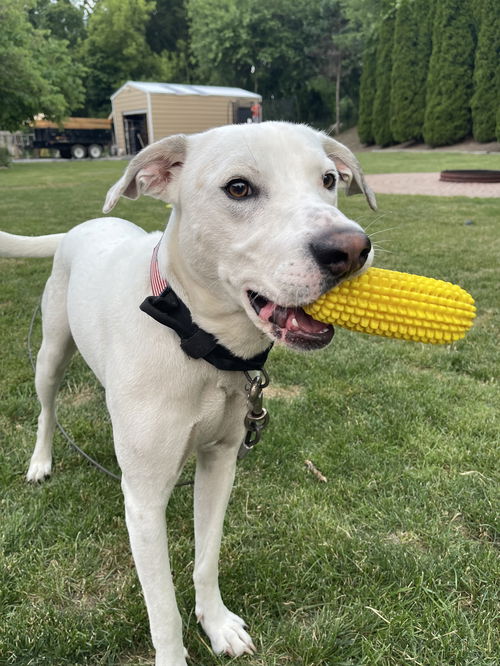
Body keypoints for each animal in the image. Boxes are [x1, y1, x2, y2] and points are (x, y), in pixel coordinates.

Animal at [0, 123, 376, 660]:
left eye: (328, 179)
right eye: (238, 188)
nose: (351, 250)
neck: (200, 343)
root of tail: (83, 227)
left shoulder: (220, 463)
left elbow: (206, 558)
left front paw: (217, 625)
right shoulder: (143, 502)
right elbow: (163, 610)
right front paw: (175, 653)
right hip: (50, 353)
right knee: (47, 409)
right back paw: (40, 461)